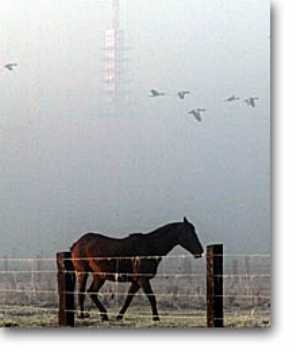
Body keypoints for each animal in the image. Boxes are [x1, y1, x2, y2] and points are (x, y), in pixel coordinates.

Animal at [70, 217, 202, 320]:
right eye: (189, 233)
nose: (200, 251)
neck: (150, 247)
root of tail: (77, 243)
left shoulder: (136, 281)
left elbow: (128, 298)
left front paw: (119, 316)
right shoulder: (142, 280)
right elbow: (151, 297)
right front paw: (156, 318)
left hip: (99, 276)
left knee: (92, 292)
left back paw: (104, 315)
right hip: (82, 272)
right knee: (81, 293)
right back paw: (82, 315)